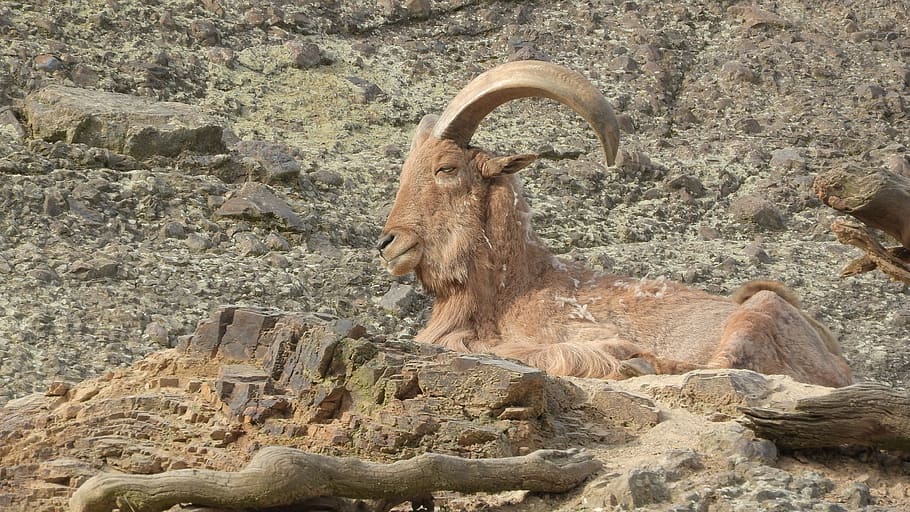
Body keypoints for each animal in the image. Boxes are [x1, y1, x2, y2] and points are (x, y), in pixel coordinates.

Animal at [376, 60, 856, 386]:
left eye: (446, 168)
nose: (388, 242)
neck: (516, 287)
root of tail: (838, 364)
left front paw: (615, 353)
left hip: (758, 313)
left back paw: (637, 361)